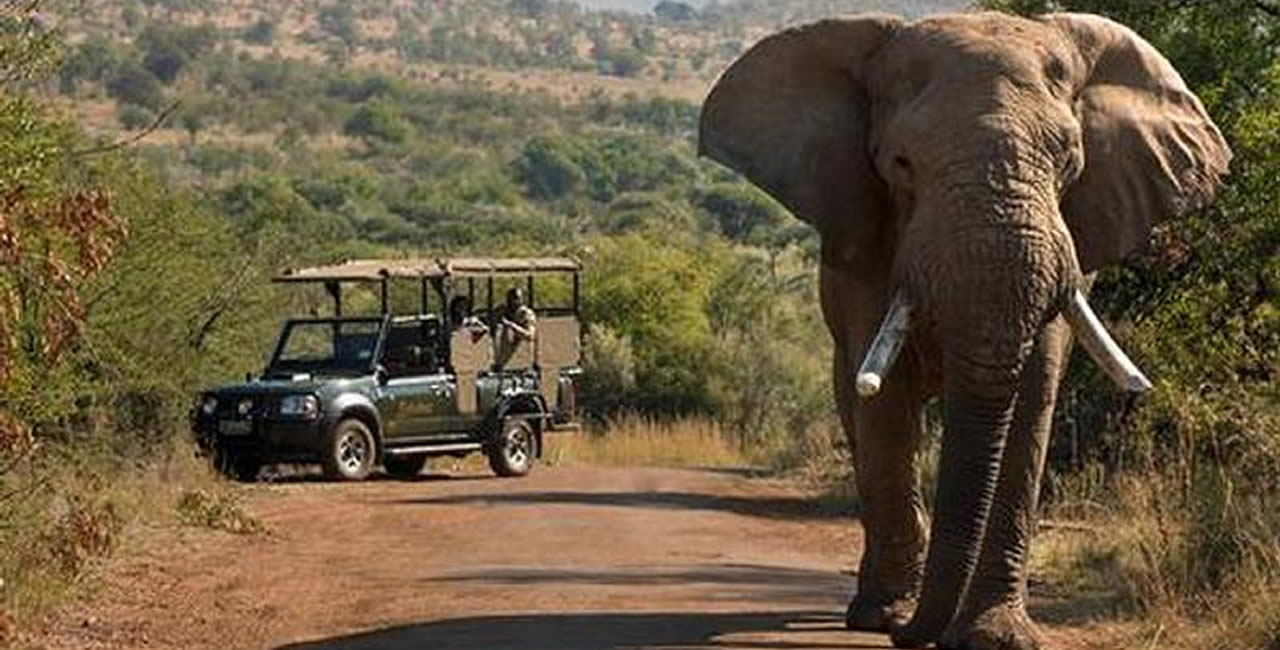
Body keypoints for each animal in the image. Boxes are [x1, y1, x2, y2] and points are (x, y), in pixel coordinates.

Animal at [701, 10, 1228, 650]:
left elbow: (1034, 396)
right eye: (901, 165)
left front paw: (996, 636)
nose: (915, 634)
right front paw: (891, 617)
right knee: (861, 414)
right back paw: (870, 607)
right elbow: (885, 407)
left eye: (1069, 165)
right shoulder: (868, 250)